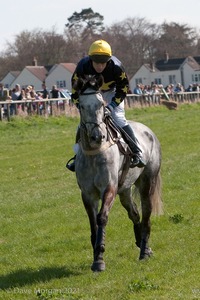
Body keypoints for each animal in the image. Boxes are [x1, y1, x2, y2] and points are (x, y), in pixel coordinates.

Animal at [74, 75, 162, 272]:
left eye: (101, 104)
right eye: (82, 106)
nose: (97, 136)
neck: (95, 153)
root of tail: (149, 131)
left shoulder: (110, 188)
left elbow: (102, 217)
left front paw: (99, 258)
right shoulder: (87, 194)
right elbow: (92, 222)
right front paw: (96, 255)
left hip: (147, 182)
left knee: (146, 214)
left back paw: (144, 250)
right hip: (125, 190)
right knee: (134, 213)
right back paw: (141, 243)